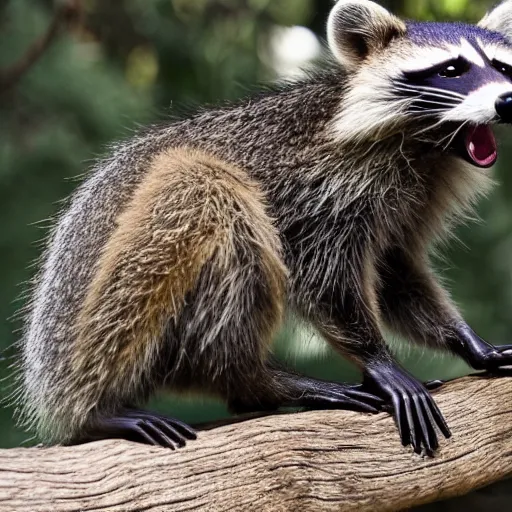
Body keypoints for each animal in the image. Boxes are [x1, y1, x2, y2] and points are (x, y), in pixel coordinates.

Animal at [15, 0, 512, 456]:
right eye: (452, 69)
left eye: (502, 66)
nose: (507, 99)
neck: (428, 142)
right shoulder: (325, 184)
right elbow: (324, 276)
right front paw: (377, 358)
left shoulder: (413, 196)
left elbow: (396, 270)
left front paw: (465, 339)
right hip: (90, 324)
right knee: (203, 191)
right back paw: (230, 381)